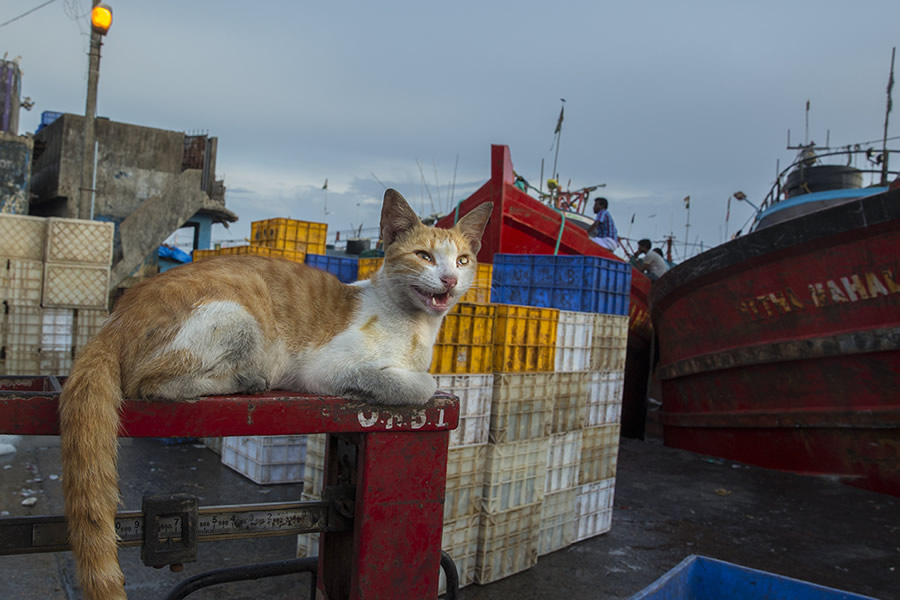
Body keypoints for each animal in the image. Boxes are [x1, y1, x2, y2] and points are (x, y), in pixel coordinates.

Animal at [58, 189, 492, 600]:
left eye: (462, 261)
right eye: (423, 256)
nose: (450, 280)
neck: (416, 328)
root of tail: (116, 317)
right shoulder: (328, 368)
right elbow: (423, 383)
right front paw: (414, 382)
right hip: (238, 319)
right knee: (150, 382)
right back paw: (247, 379)